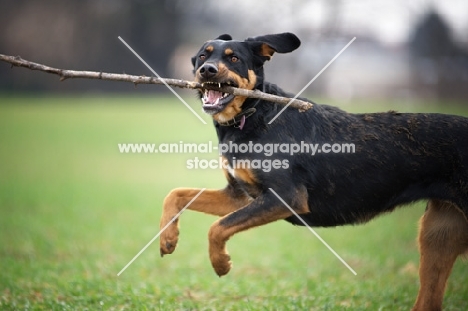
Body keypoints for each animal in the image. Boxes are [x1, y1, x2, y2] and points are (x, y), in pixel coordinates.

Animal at [159, 33, 466, 310]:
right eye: (203, 56)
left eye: (234, 58)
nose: (207, 70)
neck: (252, 114)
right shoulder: (239, 196)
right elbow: (175, 194)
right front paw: (168, 237)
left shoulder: (285, 197)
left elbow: (217, 227)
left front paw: (221, 262)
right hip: (437, 235)